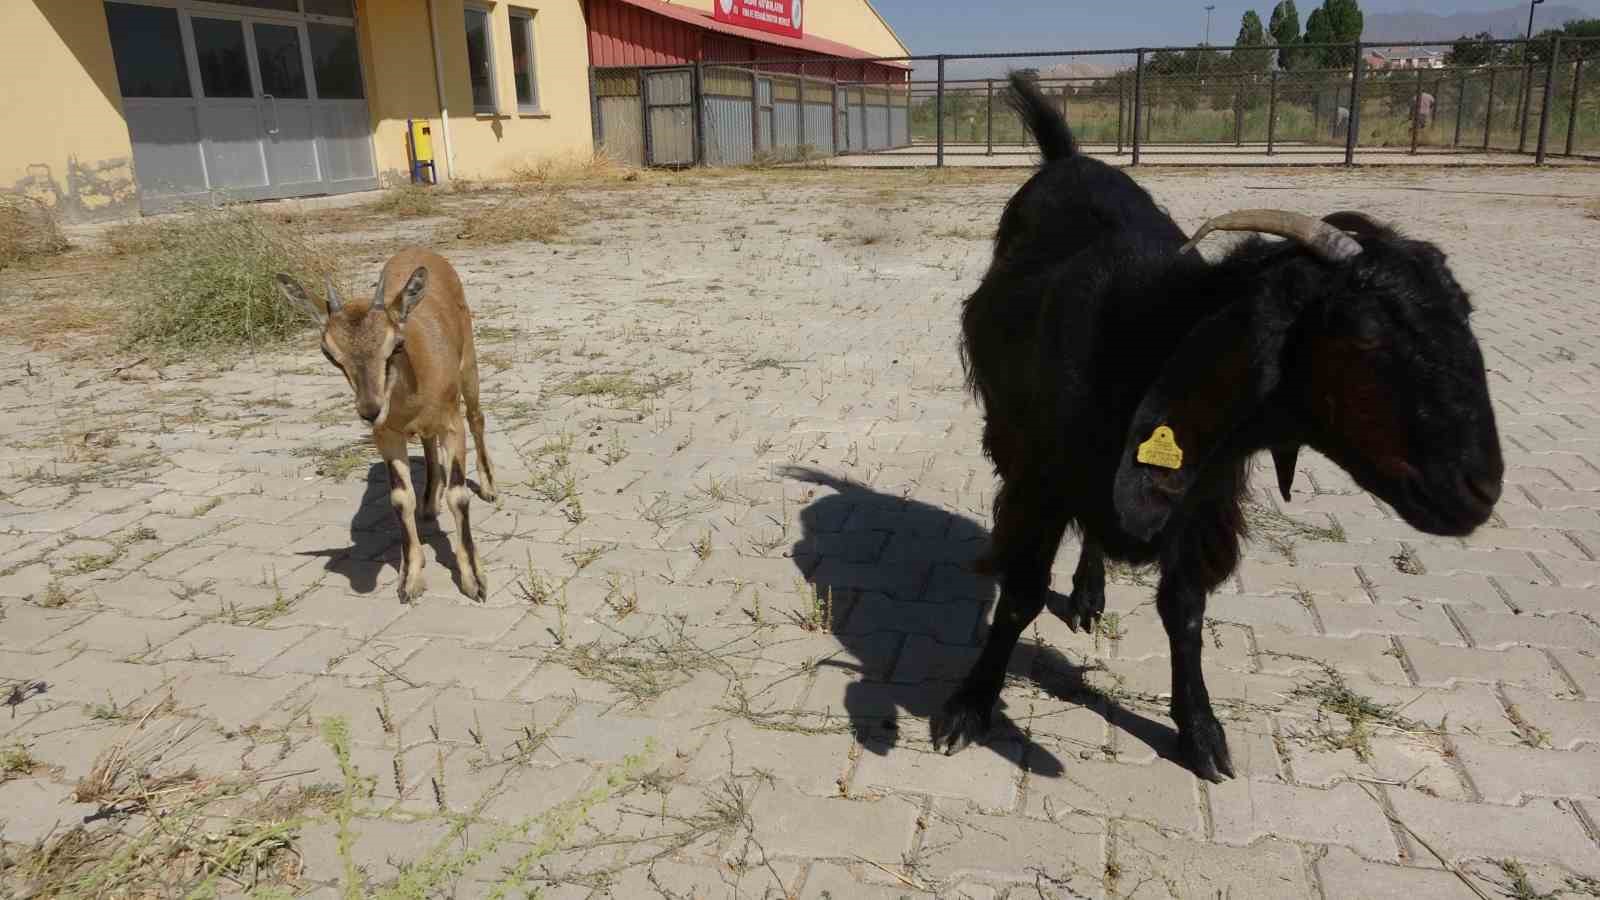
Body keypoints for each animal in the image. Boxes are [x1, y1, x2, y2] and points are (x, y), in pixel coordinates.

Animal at [934, 75, 1504, 778]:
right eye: (1365, 335)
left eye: (1466, 314)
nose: (1480, 488)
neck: (1146, 337)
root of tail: (1068, 157)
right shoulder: (1041, 480)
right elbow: (1019, 595)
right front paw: (968, 706)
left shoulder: (1199, 498)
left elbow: (1184, 612)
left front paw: (1201, 732)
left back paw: (1091, 595)